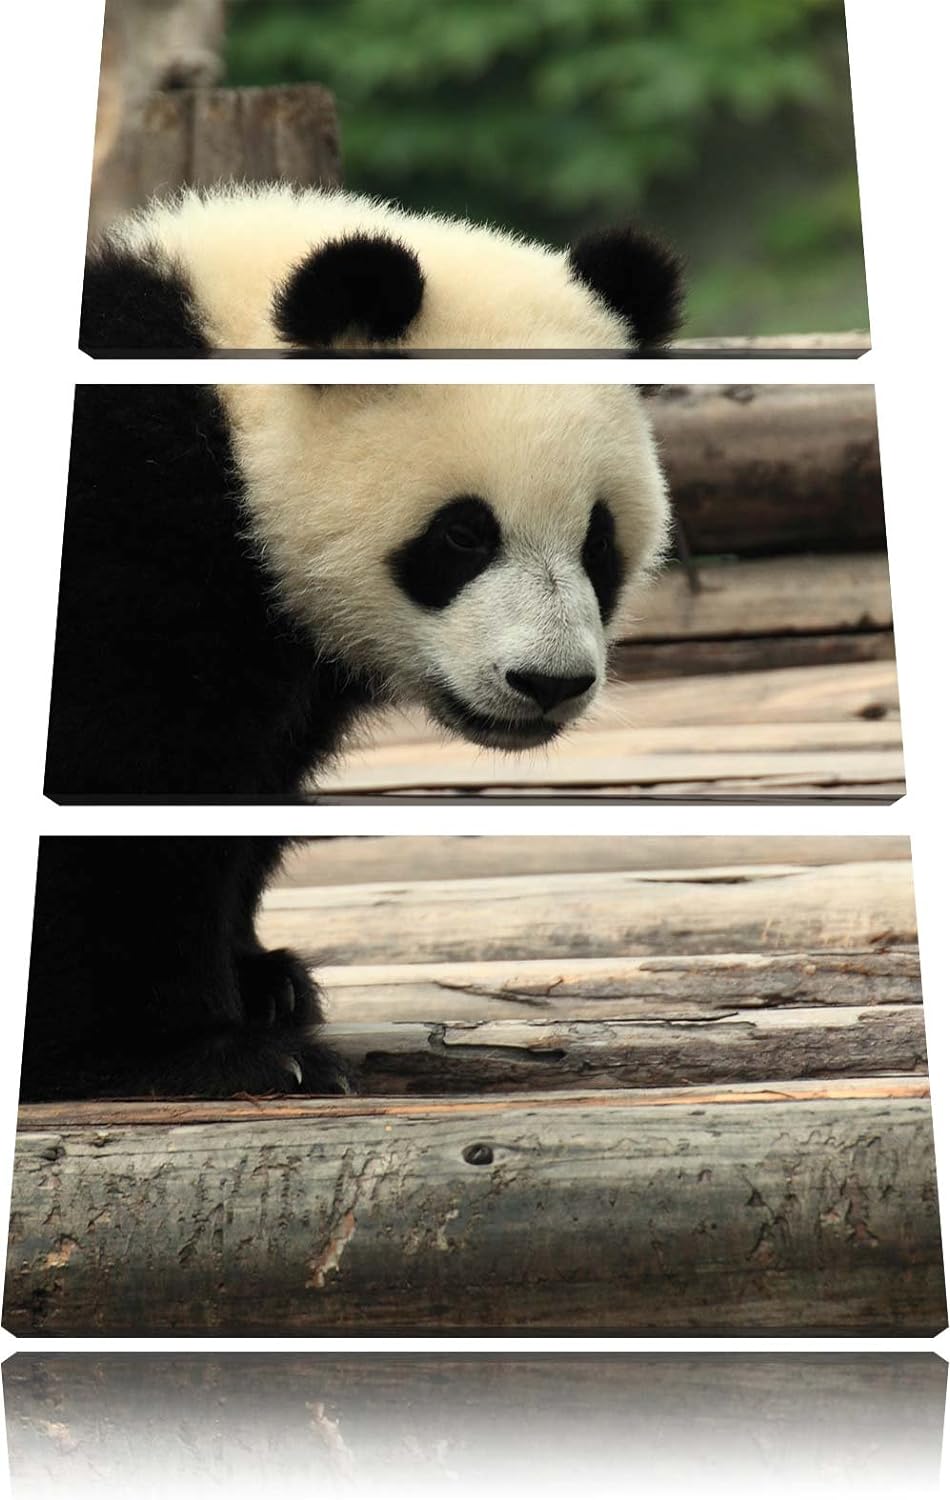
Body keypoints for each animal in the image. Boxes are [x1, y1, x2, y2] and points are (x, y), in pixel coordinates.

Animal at [25, 187, 683, 1102]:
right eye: (463, 535)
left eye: (599, 542)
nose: (548, 682)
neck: (226, 423)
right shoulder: (123, 538)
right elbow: (116, 788)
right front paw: (189, 1050)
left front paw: (265, 982)